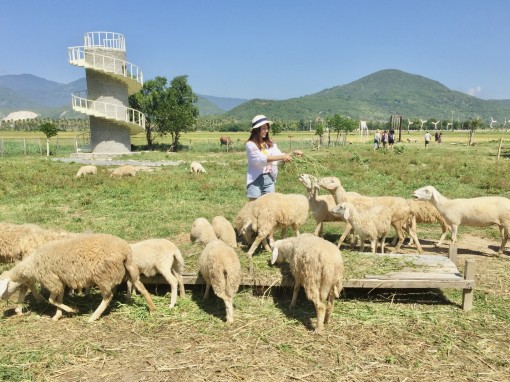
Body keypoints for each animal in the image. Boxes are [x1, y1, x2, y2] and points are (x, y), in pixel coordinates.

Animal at [0, 233, 156, 322]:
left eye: (5, 287)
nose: (3, 300)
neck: (32, 264)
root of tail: (124, 250)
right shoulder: (60, 281)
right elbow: (58, 300)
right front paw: (58, 316)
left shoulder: (52, 281)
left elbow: (52, 300)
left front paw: (72, 310)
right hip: (129, 268)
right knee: (140, 286)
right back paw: (152, 308)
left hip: (102, 275)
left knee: (108, 297)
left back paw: (93, 317)